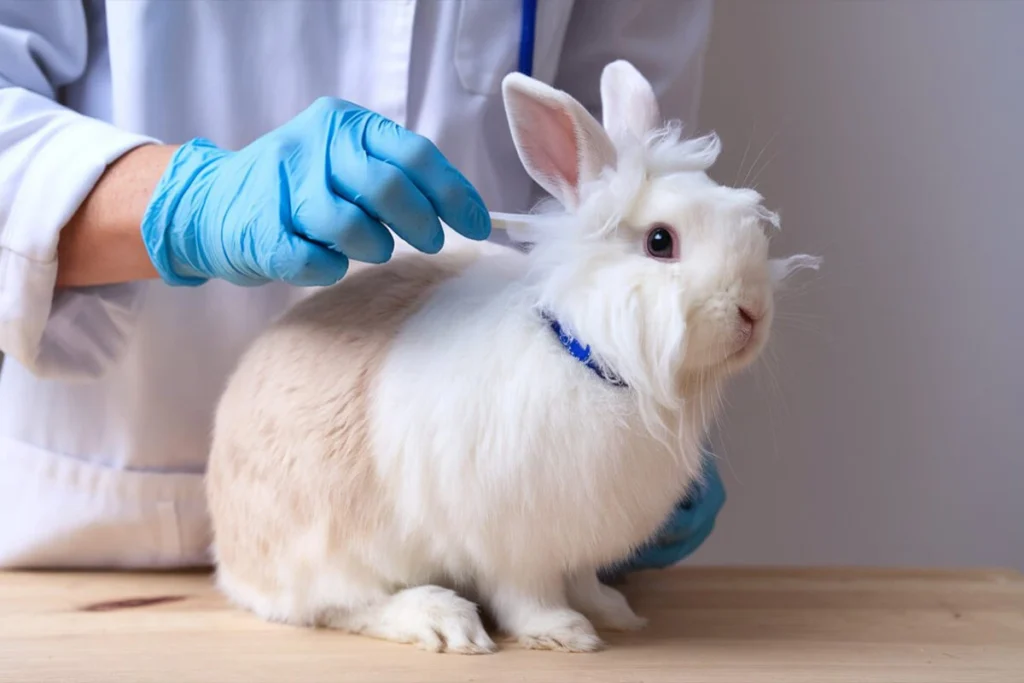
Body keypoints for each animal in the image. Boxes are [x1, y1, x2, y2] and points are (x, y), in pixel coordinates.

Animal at [203, 61, 819, 655]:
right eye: (660, 242)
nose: (753, 313)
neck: (585, 356)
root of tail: (231, 555)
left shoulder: (578, 536)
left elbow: (581, 578)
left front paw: (612, 612)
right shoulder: (513, 540)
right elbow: (527, 593)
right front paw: (564, 632)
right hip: (326, 548)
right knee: (336, 605)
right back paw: (439, 619)